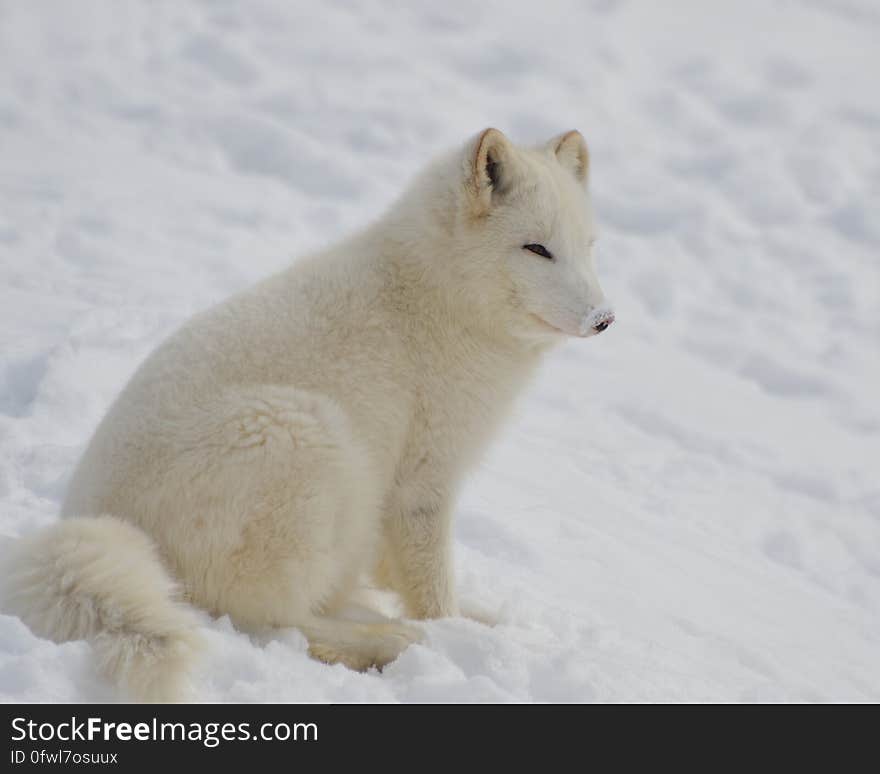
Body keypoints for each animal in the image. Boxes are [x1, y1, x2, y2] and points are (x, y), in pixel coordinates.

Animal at [1, 129, 612, 704]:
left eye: (587, 247)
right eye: (536, 249)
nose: (604, 319)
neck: (435, 294)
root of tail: (94, 518)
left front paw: (480, 621)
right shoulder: (424, 481)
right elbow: (431, 588)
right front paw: (454, 634)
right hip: (310, 439)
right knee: (273, 624)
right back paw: (386, 645)